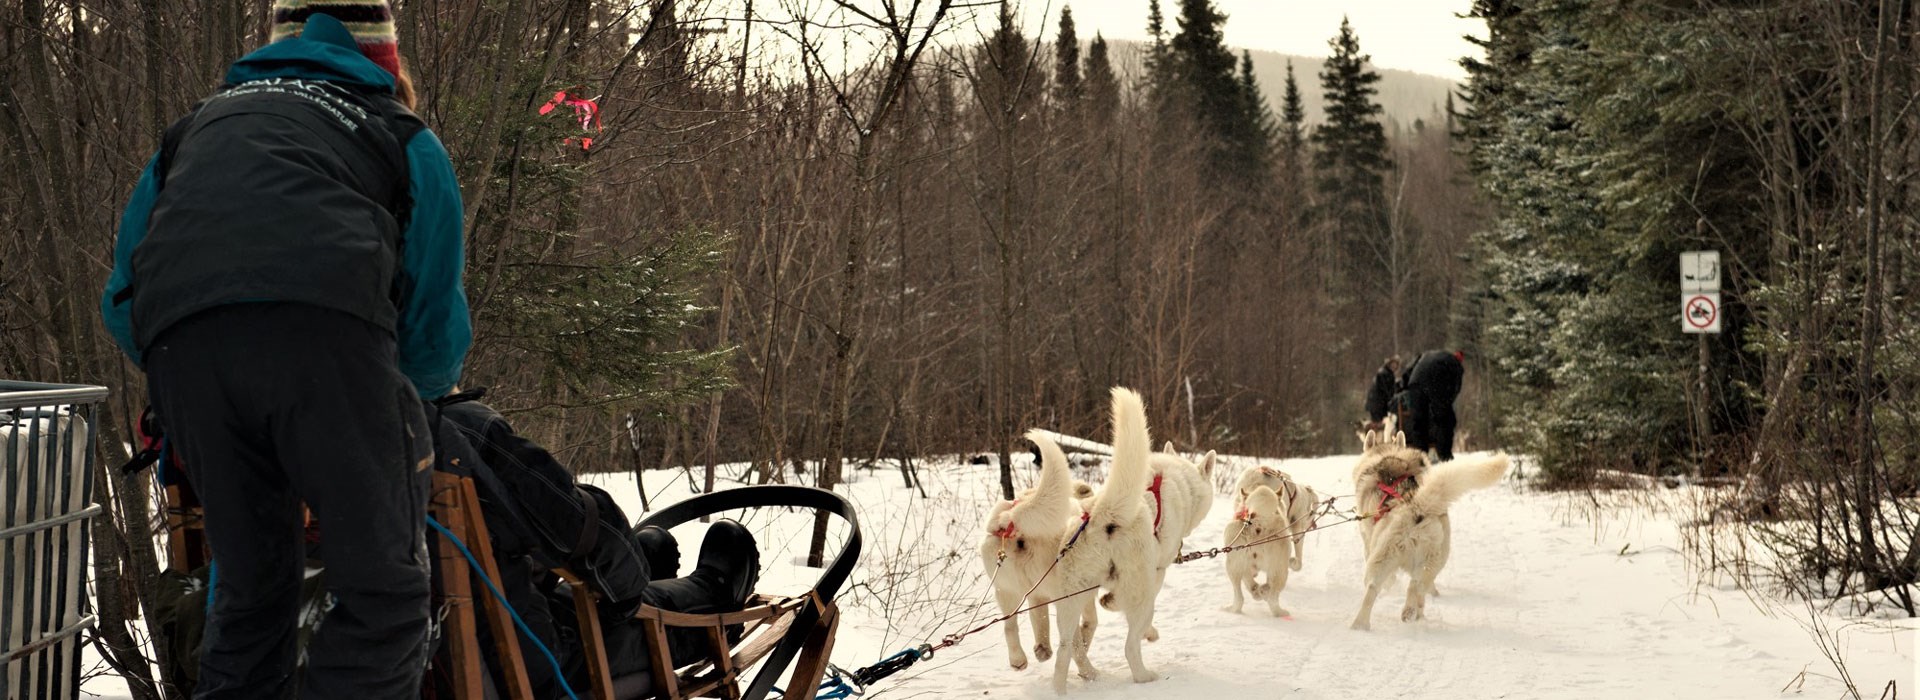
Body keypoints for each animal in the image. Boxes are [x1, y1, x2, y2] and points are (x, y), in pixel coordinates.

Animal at [1228, 483, 1290, 613]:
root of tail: (1258, 523)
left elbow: (1250, 582)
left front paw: (1258, 591)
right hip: (1280, 570)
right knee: (1273, 597)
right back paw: (1278, 610)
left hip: (1233, 566)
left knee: (1239, 596)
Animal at [1344, 427, 1505, 629]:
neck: (1388, 454)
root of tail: (1418, 507)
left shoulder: (1368, 541)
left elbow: (1389, 578)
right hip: (1429, 561)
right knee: (1413, 587)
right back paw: (1404, 614)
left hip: (1384, 557)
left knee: (1379, 587)